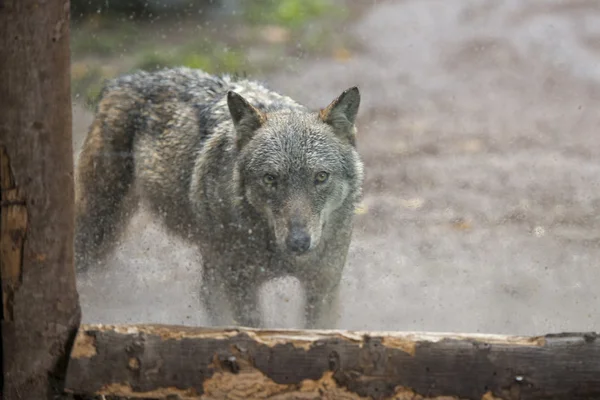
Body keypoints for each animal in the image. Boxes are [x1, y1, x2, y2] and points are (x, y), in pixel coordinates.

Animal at [75, 68, 366, 328]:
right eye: (270, 179)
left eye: (321, 177)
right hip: (98, 231)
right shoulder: (243, 289)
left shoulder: (322, 288)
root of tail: (124, 80)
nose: (298, 242)